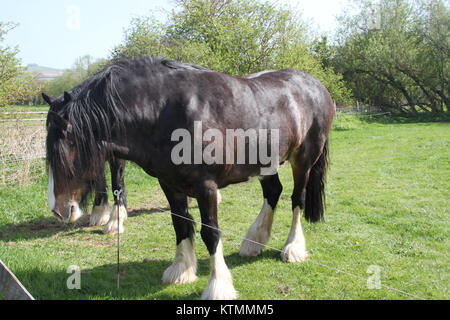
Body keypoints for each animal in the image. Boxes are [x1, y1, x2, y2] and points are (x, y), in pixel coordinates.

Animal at [44, 57, 334, 300]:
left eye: (69, 146)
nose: (60, 210)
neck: (165, 112)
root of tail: (317, 86)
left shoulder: (206, 187)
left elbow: (211, 233)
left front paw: (218, 286)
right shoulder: (170, 185)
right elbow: (180, 224)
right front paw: (181, 270)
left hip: (304, 159)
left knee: (297, 198)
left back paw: (293, 247)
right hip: (265, 163)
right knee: (273, 191)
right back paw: (254, 241)